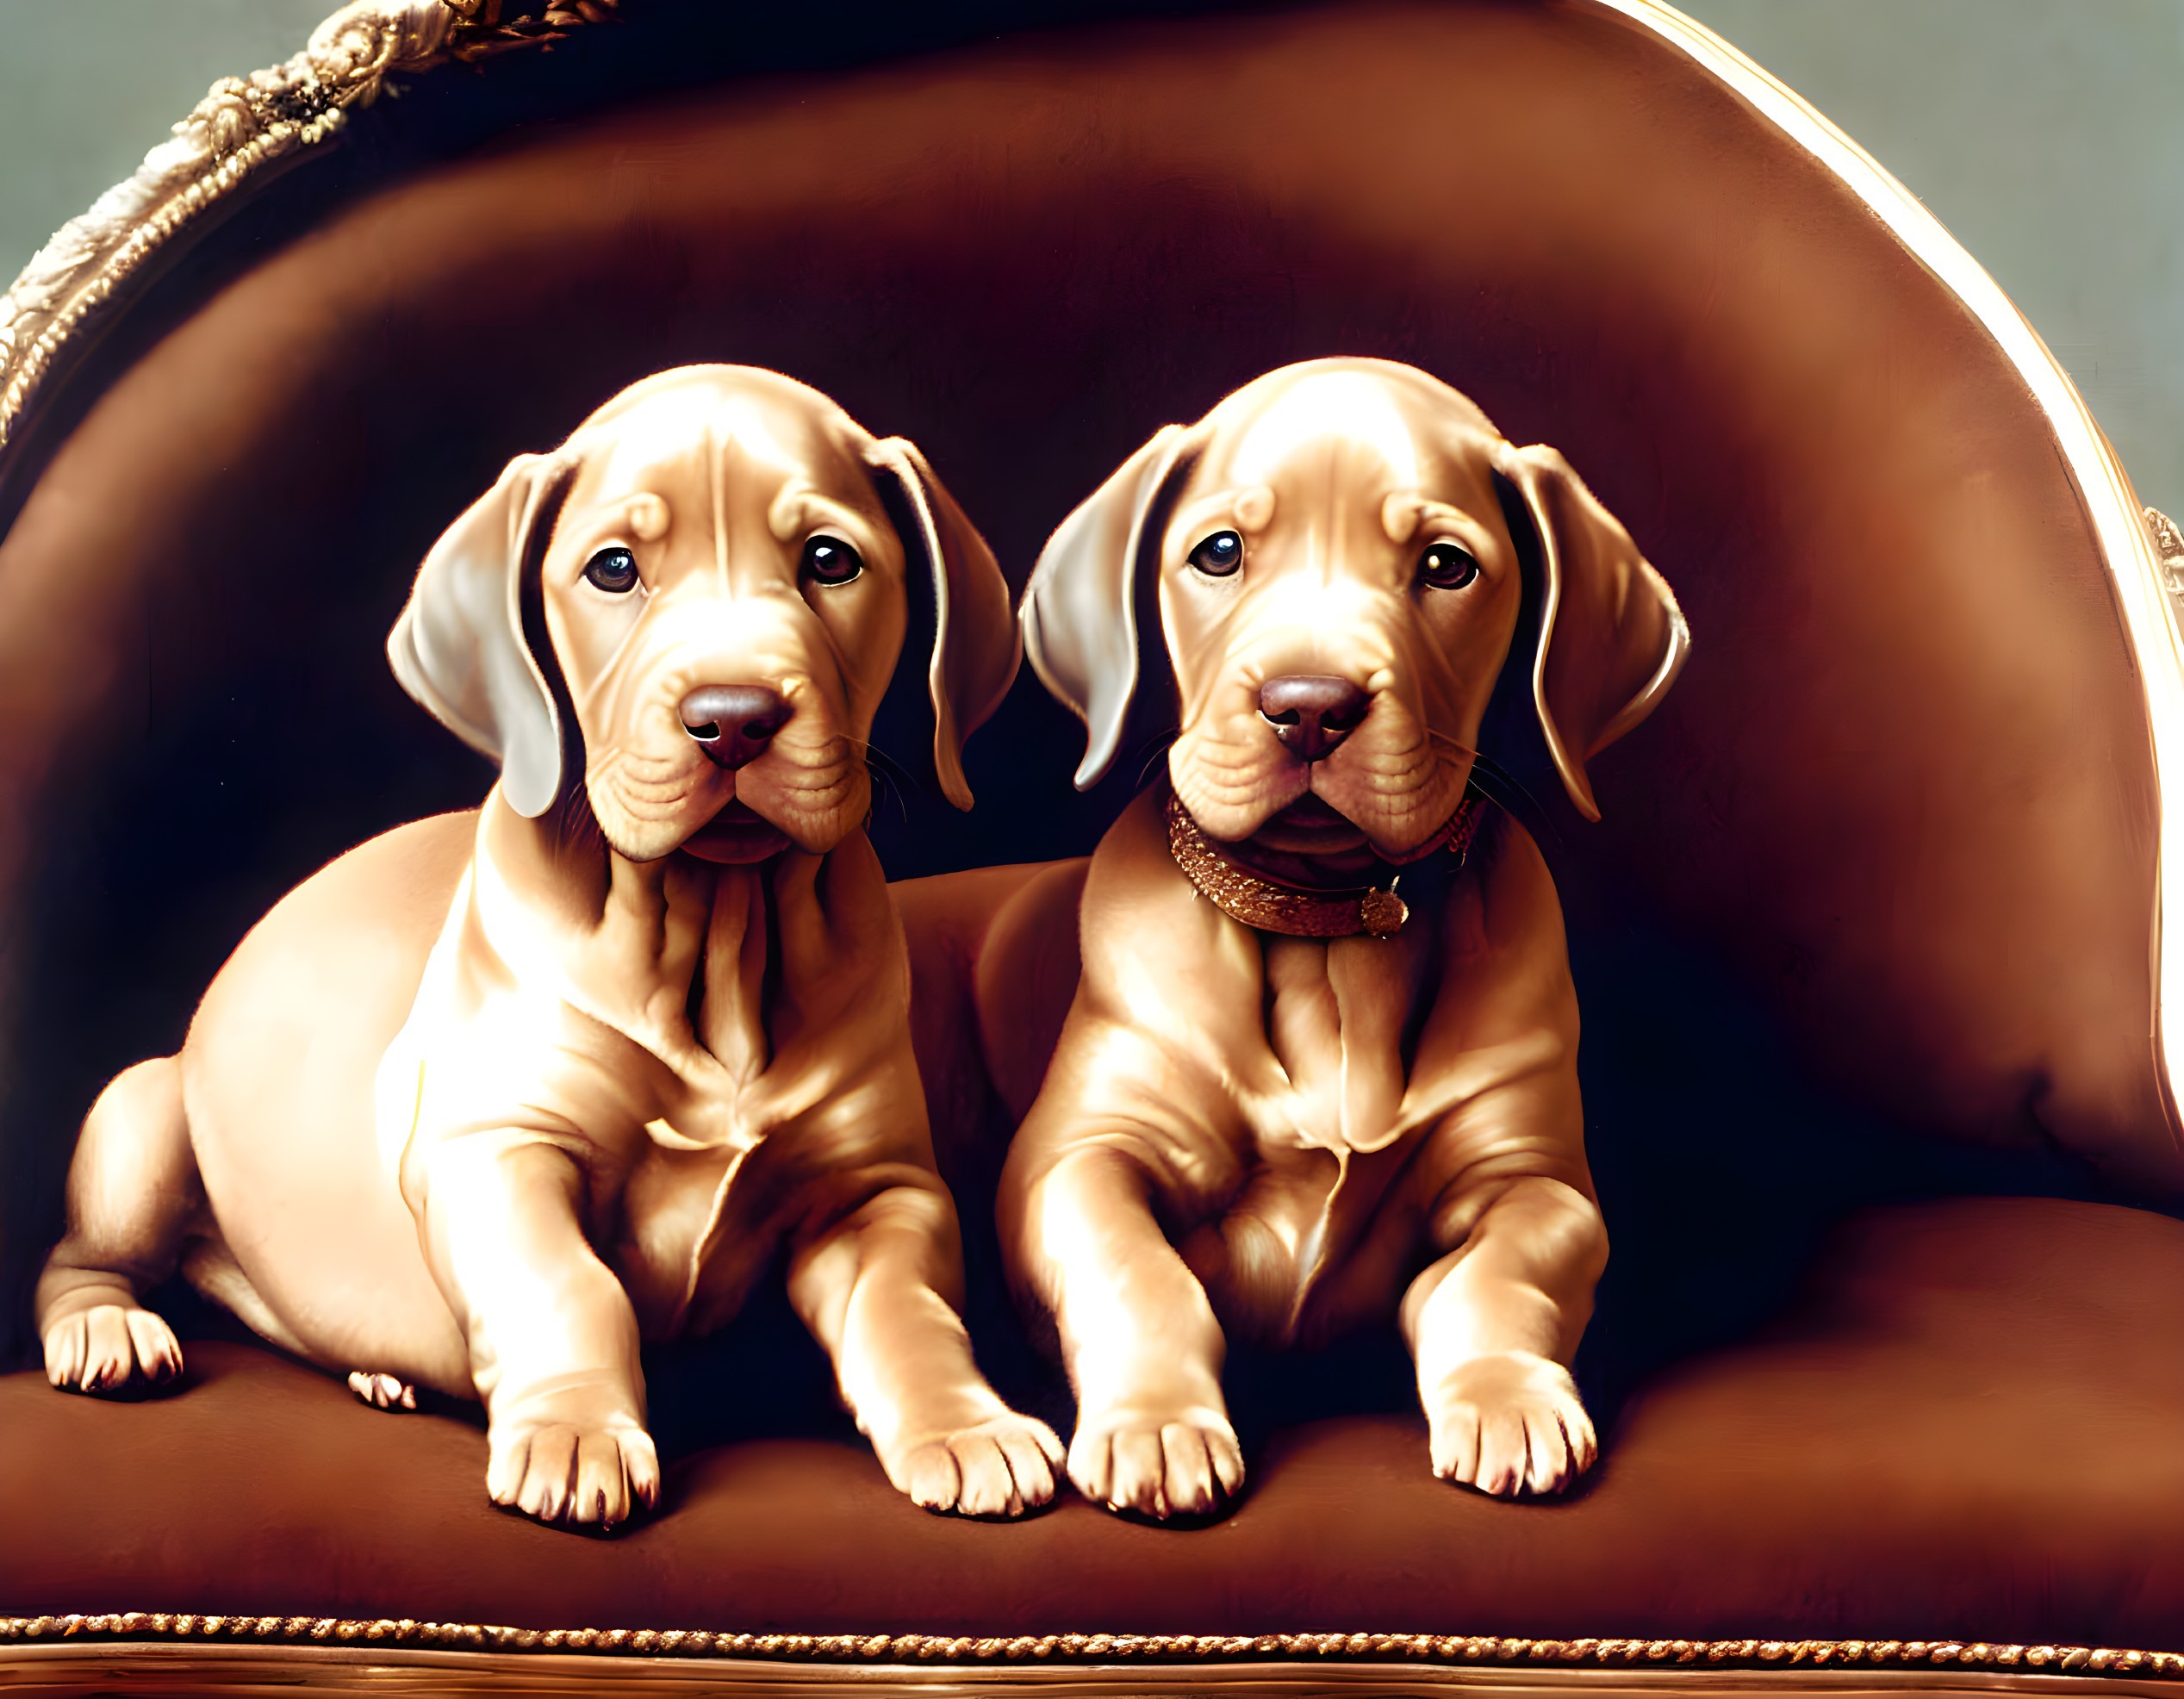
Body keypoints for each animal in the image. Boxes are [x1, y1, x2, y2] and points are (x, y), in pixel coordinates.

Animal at [29, 366, 1061, 1520]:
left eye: (831, 561)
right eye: (613, 569)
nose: (734, 719)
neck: (718, 932)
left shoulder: (877, 1188)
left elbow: (907, 1310)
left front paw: (966, 1425)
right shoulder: (500, 1147)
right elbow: (565, 1288)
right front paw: (575, 1433)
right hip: (139, 1117)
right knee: (75, 1255)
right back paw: (107, 1328)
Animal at [1005, 353, 1686, 1511]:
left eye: (1447, 567)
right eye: (1219, 552)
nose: (1308, 706)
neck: (1327, 918)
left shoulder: (1538, 1181)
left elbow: (1497, 1274)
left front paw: (1507, 1397)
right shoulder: (1070, 1158)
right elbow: (1135, 1268)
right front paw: (1157, 1423)